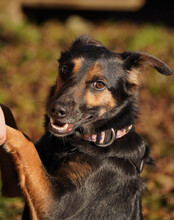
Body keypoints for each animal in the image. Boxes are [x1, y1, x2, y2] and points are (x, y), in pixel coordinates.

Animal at [0, 35, 173, 219]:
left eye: (99, 84)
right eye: (65, 70)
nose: (55, 109)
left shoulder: (54, 206)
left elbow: (25, 141)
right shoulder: (14, 185)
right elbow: (8, 112)